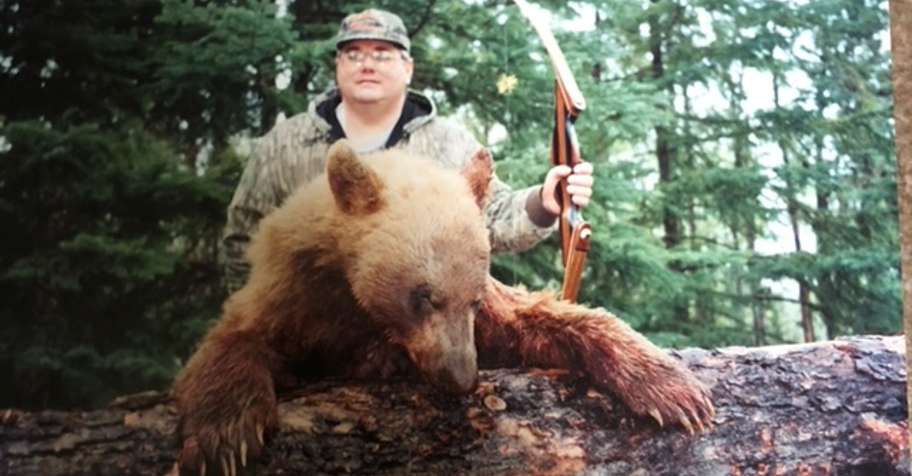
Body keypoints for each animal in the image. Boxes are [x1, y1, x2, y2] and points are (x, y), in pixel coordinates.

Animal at [172, 140, 714, 475]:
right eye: (422, 295)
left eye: (470, 300)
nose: (461, 377)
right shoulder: (295, 294)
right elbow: (233, 338)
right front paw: (224, 437)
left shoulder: (488, 312)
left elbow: (538, 318)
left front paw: (676, 391)